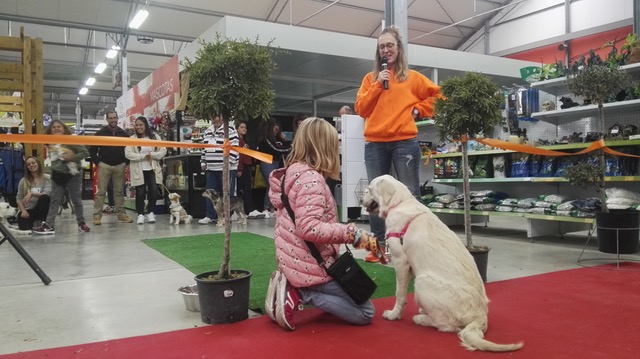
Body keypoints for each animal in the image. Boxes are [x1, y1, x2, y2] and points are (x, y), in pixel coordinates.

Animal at [362, 176, 524, 352]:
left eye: (369, 189)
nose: (361, 199)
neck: (400, 202)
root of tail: (480, 317)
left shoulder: (401, 261)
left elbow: (399, 293)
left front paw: (393, 315)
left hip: (422, 281)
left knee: (446, 326)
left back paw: (420, 318)